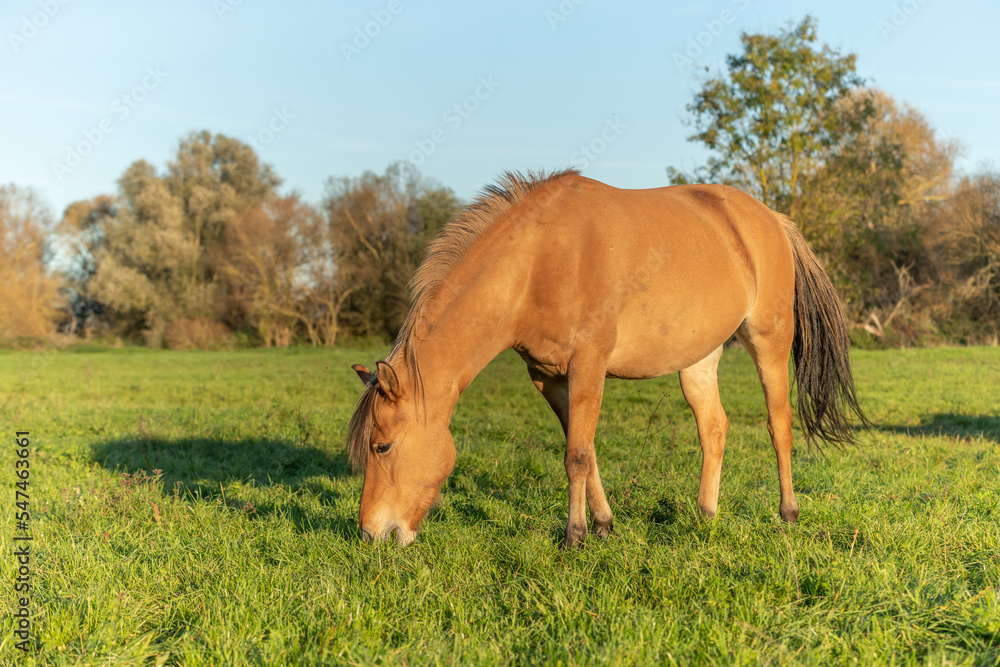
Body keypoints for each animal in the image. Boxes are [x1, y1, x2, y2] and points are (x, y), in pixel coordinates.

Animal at [348, 169, 869, 547]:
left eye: (382, 446)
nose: (370, 534)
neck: (538, 263)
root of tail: (771, 219)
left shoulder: (588, 367)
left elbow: (576, 455)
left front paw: (574, 535)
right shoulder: (549, 378)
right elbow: (586, 449)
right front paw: (602, 524)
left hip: (768, 342)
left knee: (779, 425)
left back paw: (788, 513)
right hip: (698, 359)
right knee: (714, 428)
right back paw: (704, 515)